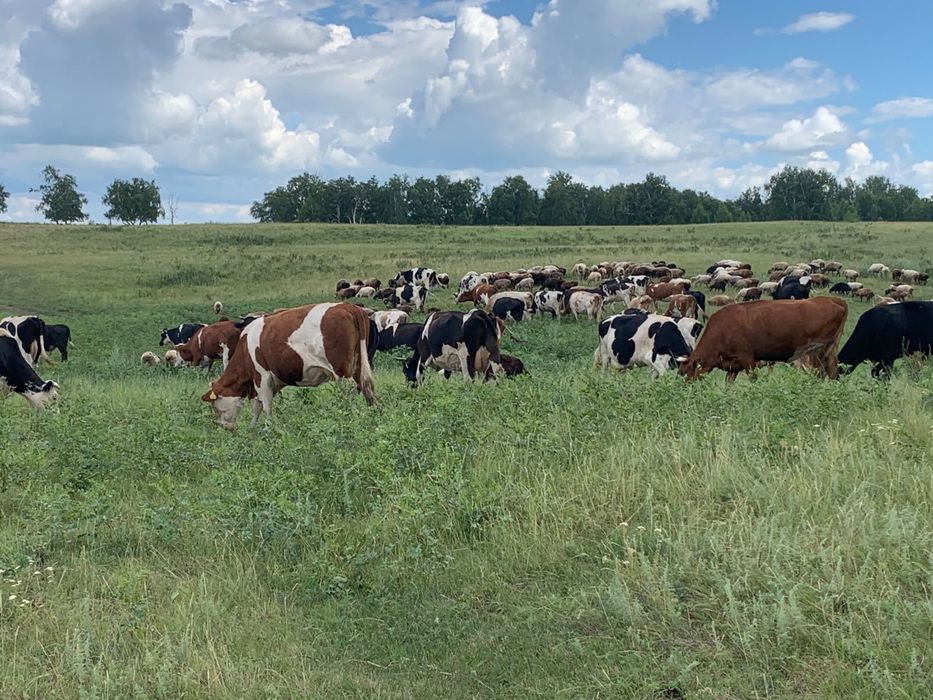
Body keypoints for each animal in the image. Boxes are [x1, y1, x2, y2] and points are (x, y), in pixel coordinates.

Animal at [203, 303, 376, 428]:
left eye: (214, 406)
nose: (224, 427)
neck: (245, 348)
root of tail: (349, 307)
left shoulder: (262, 377)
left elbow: (265, 406)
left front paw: (270, 429)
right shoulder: (271, 381)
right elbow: (257, 406)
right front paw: (252, 430)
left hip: (342, 370)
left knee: (351, 390)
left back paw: (349, 417)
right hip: (359, 363)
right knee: (367, 387)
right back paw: (374, 415)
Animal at [680, 297, 848, 381]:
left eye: (688, 372)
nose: (686, 387)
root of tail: (833, 300)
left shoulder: (747, 358)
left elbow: (753, 378)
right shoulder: (733, 366)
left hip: (817, 351)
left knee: (822, 373)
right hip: (828, 351)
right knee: (832, 373)